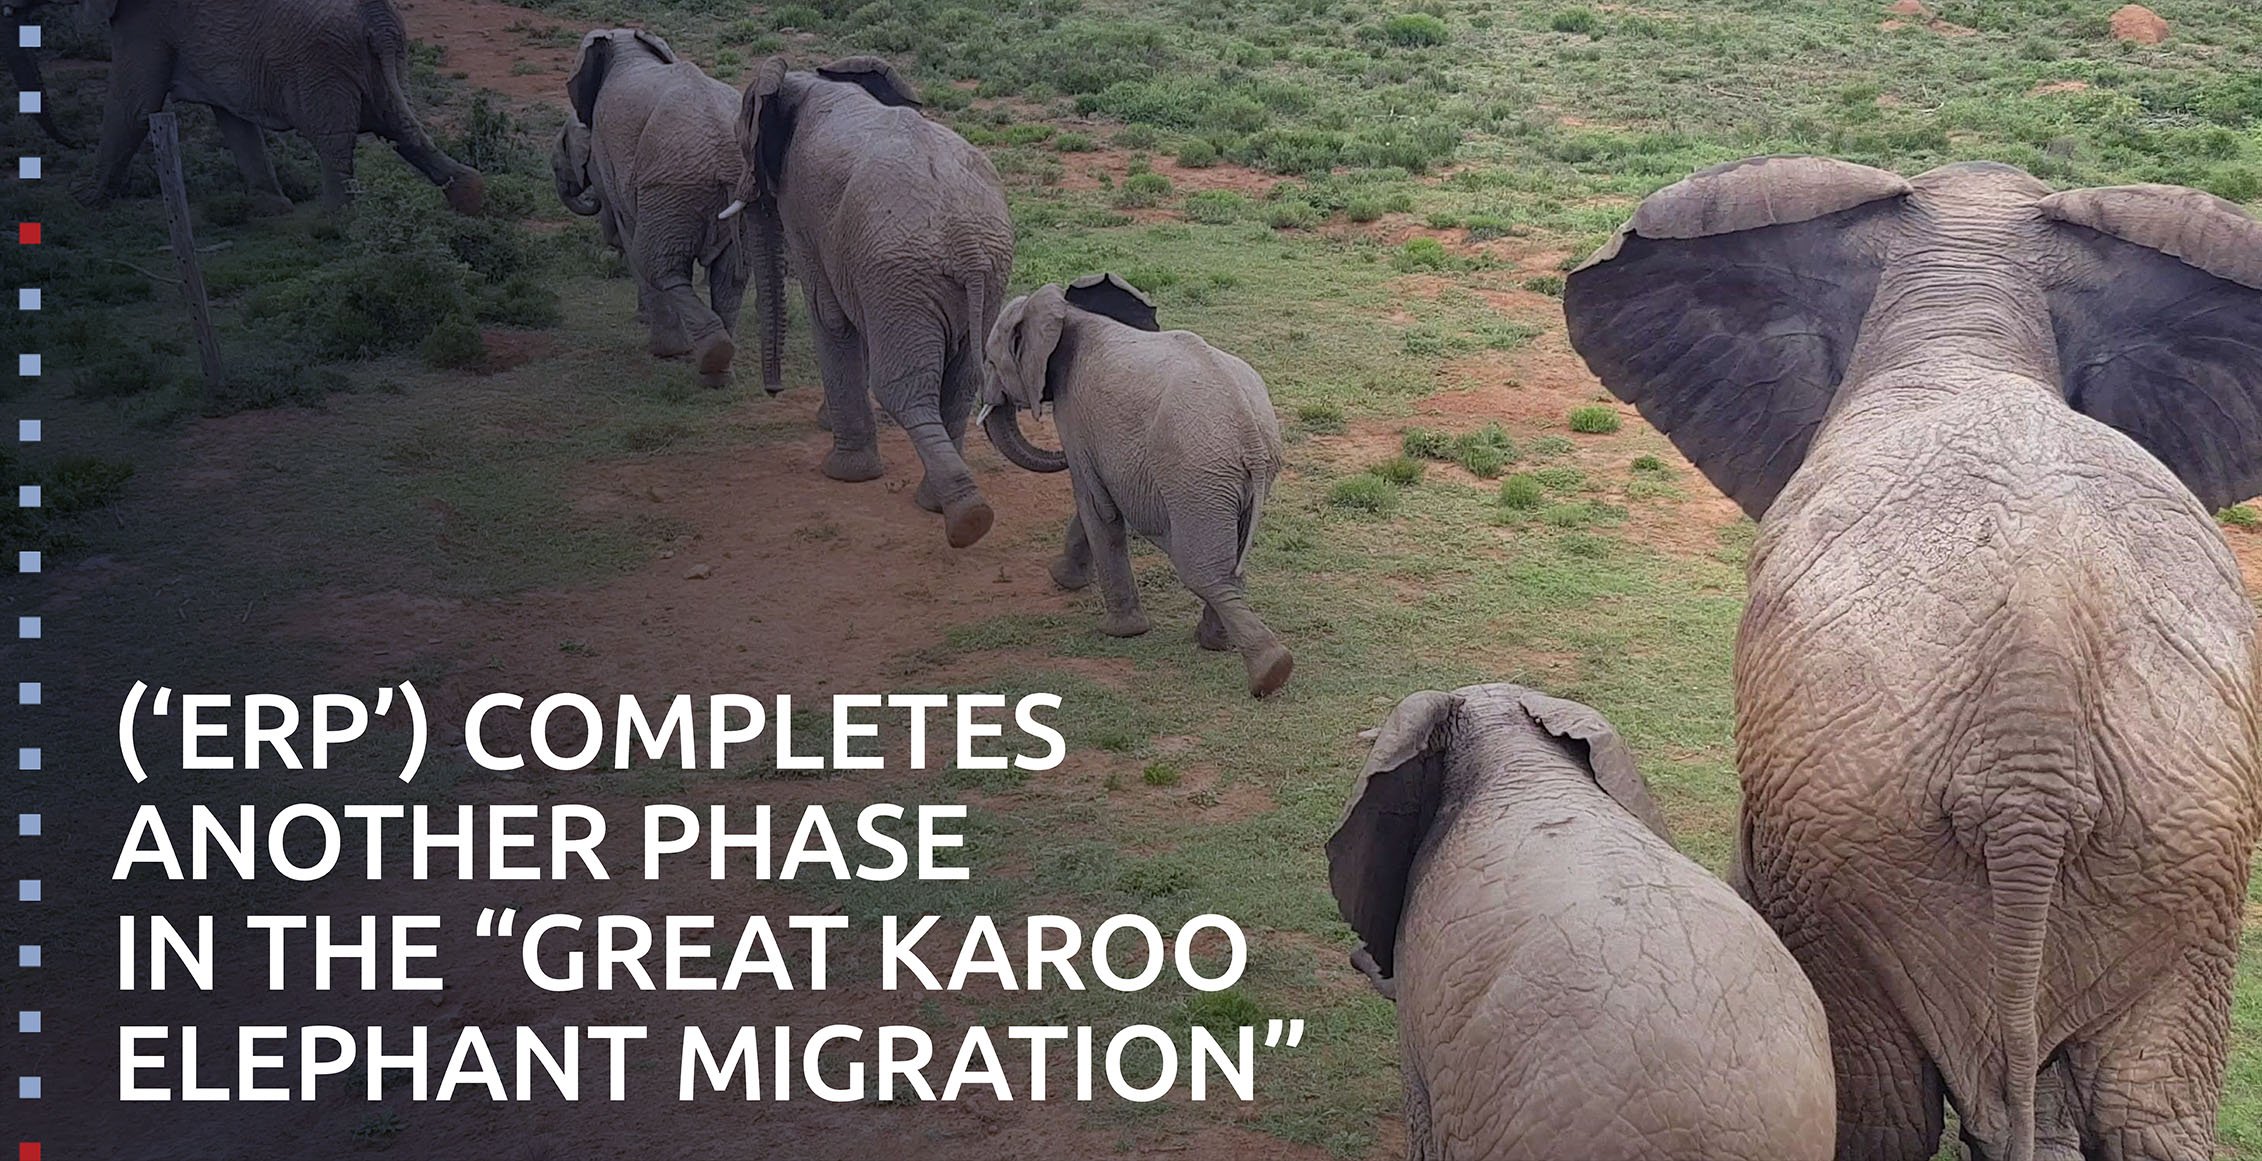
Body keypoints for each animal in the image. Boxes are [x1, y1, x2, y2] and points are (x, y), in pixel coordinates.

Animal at [79, 0, 482, 214]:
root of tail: (376, 18)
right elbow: (233, 119)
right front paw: (273, 207)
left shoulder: (148, 22)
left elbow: (131, 108)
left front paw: (81, 201)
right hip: (382, 60)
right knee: (401, 129)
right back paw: (471, 196)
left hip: (321, 63)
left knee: (334, 140)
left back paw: (337, 223)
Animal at [558, 29, 746, 388]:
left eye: (561, 145)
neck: (629, 49)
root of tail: (720, 143)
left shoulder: (605, 151)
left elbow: (626, 232)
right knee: (729, 277)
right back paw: (719, 370)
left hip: (670, 188)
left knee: (659, 267)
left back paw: (680, 353)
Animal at [721, 55, 1013, 548]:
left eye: (743, 140)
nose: (773, 391)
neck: (815, 80)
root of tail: (967, 244)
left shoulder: (803, 208)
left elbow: (829, 316)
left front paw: (844, 473)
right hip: (983, 275)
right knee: (961, 382)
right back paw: (947, 507)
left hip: (901, 277)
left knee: (905, 389)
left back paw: (964, 518)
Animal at [982, 274, 1294, 698]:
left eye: (989, 361)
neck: (1070, 312)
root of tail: (1248, 428)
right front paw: (1064, 579)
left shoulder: (1075, 416)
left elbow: (1096, 505)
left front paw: (1116, 628)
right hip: (1231, 477)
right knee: (1229, 567)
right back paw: (1222, 646)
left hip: (1194, 476)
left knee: (1202, 572)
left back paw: (1267, 672)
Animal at [1563, 157, 2262, 1161]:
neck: (1969, 318)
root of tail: (2033, 751)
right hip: (2178, 853)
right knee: (2152, 1115)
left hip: (1856, 846)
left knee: (1883, 1108)